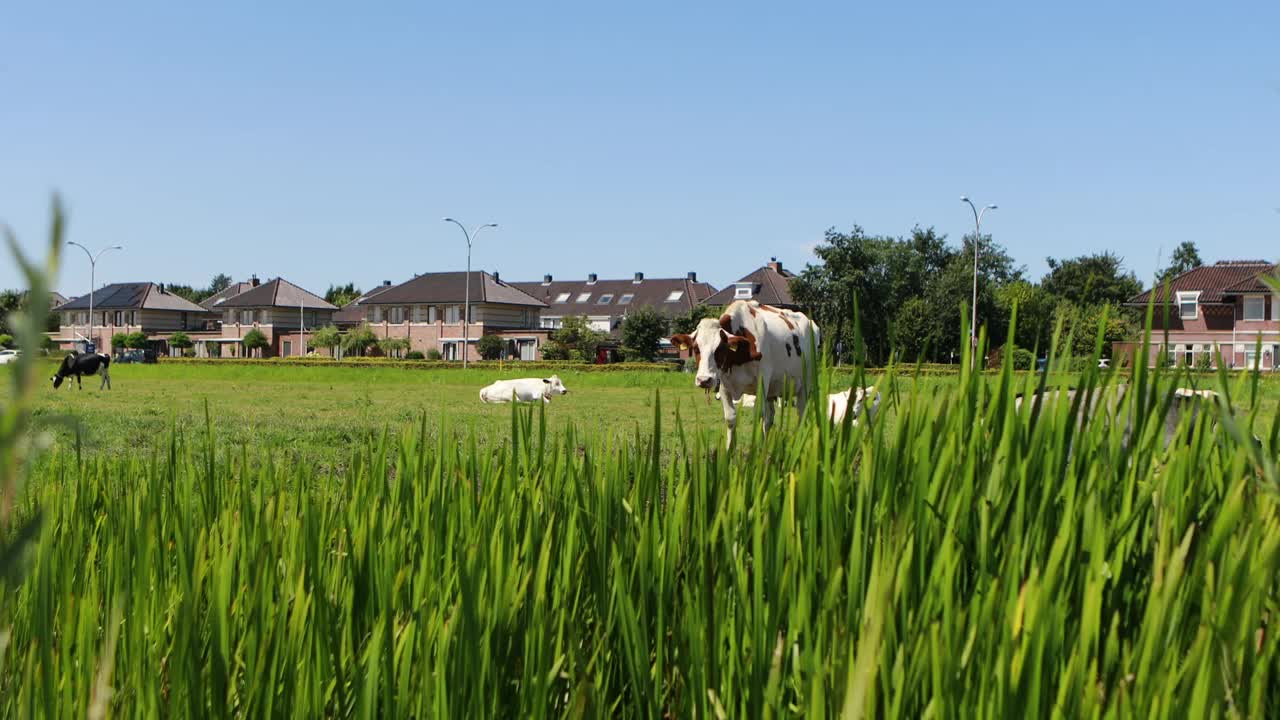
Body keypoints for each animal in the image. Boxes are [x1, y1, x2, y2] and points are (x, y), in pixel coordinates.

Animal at [670, 295, 819, 443]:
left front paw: (756, 448)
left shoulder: (762, 381)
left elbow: (758, 416)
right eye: (696, 348)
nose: (704, 380)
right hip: (773, 389)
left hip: (806, 384)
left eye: (720, 348)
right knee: (770, 419)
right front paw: (730, 449)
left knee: (801, 413)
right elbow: (731, 418)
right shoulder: (723, 385)